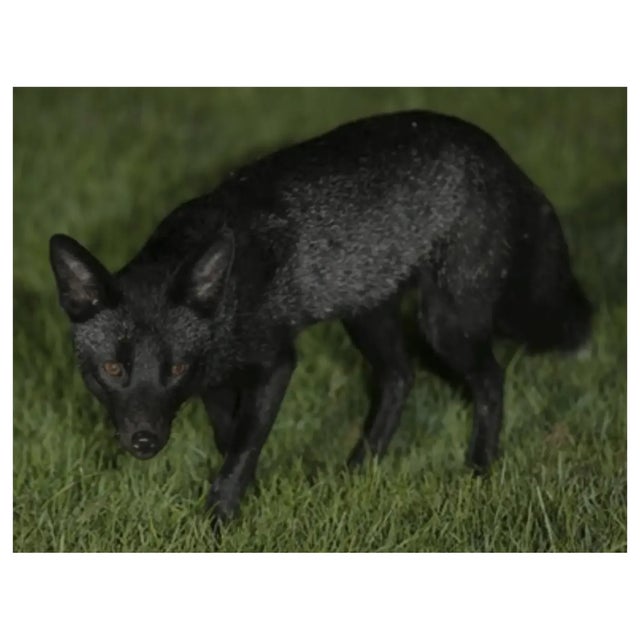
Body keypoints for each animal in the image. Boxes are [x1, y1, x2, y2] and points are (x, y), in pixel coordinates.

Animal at [50, 110, 592, 528]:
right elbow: (230, 437)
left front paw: (219, 519)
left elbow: (242, 446)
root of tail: (496, 152)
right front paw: (244, 495)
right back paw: (360, 467)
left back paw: (478, 467)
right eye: (113, 370)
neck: (230, 298)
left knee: (490, 378)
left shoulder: (275, 363)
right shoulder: (216, 381)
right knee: (401, 377)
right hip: (367, 315)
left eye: (175, 369)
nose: (144, 440)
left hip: (445, 324)